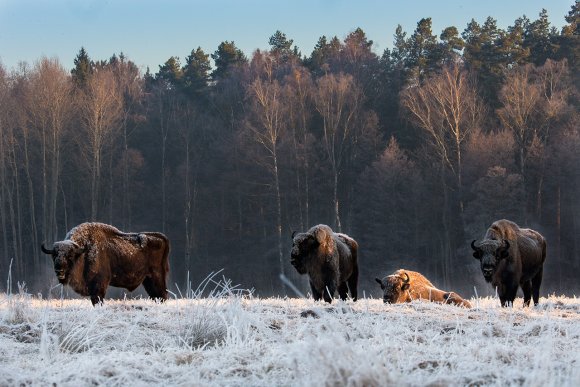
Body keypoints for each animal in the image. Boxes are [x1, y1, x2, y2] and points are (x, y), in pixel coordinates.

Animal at [41, 224, 170, 306]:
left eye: (70, 256)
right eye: (54, 255)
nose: (59, 270)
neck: (83, 251)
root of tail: (160, 237)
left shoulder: (99, 287)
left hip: (156, 277)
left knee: (162, 295)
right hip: (148, 280)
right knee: (156, 296)